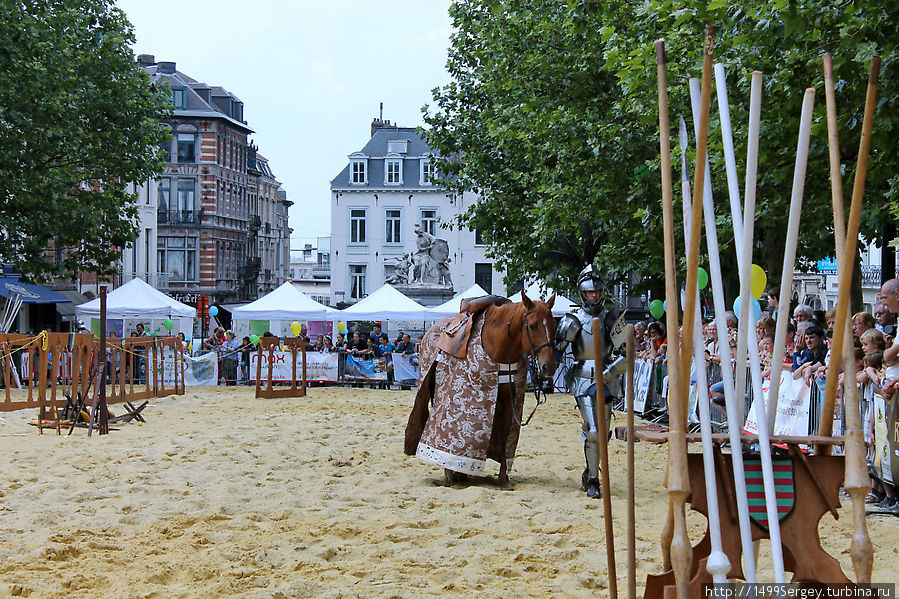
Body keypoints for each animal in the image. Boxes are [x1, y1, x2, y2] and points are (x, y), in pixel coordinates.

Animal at [406, 290, 556, 492]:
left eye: (554, 325)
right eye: (532, 326)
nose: (549, 367)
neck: (498, 345)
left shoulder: (508, 400)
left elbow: (504, 438)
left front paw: (504, 481)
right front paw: (450, 472)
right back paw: (451, 474)